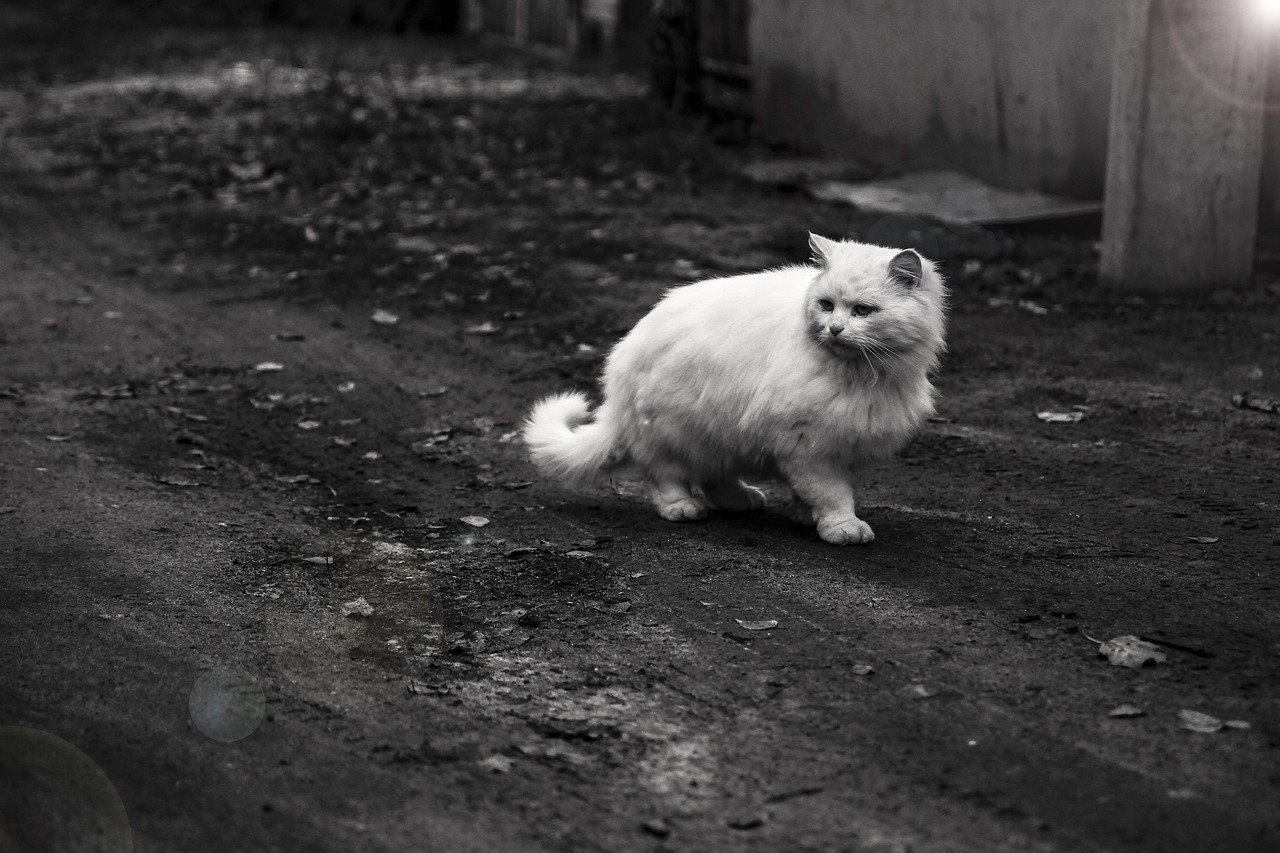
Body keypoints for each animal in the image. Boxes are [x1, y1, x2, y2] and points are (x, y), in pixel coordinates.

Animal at [522, 234, 952, 537]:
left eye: (863, 310)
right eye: (827, 305)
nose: (833, 329)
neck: (867, 374)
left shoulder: (837, 443)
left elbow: (811, 491)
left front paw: (804, 516)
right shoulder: (806, 445)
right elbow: (830, 493)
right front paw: (841, 526)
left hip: (720, 432)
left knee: (714, 476)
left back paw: (741, 500)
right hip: (671, 430)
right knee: (665, 475)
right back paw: (682, 508)